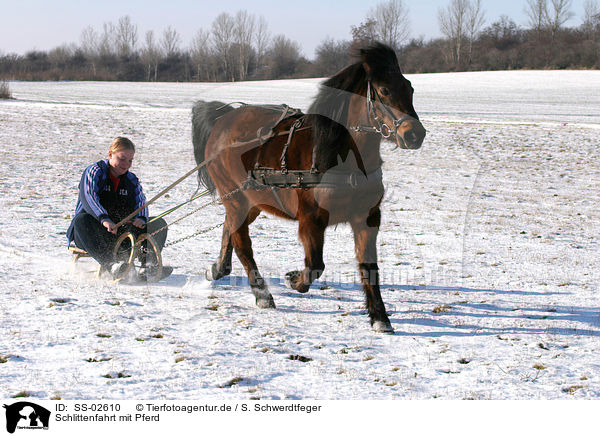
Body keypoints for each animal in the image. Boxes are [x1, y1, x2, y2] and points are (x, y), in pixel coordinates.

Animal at [192, 42, 426, 332]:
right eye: (383, 90)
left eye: (409, 88)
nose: (414, 134)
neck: (338, 154)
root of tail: (223, 119)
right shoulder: (311, 219)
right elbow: (315, 264)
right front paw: (294, 279)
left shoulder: (368, 217)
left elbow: (369, 266)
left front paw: (379, 317)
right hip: (234, 197)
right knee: (242, 242)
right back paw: (261, 293)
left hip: (252, 200)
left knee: (229, 230)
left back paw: (219, 268)